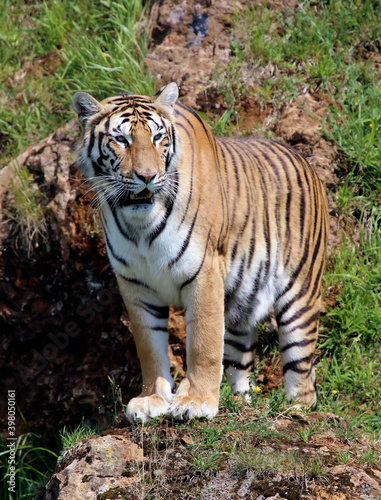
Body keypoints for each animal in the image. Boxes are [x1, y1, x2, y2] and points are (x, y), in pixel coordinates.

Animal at [72, 83, 328, 422]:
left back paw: (294, 408)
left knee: (301, 371)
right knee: (238, 361)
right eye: (121, 140)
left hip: (299, 295)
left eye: (157, 137)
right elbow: (149, 347)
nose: (147, 176)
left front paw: (196, 400)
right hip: (241, 302)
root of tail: (304, 160)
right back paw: (240, 403)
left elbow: (203, 344)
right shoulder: (135, 284)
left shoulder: (204, 273)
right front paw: (152, 399)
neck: (141, 226)